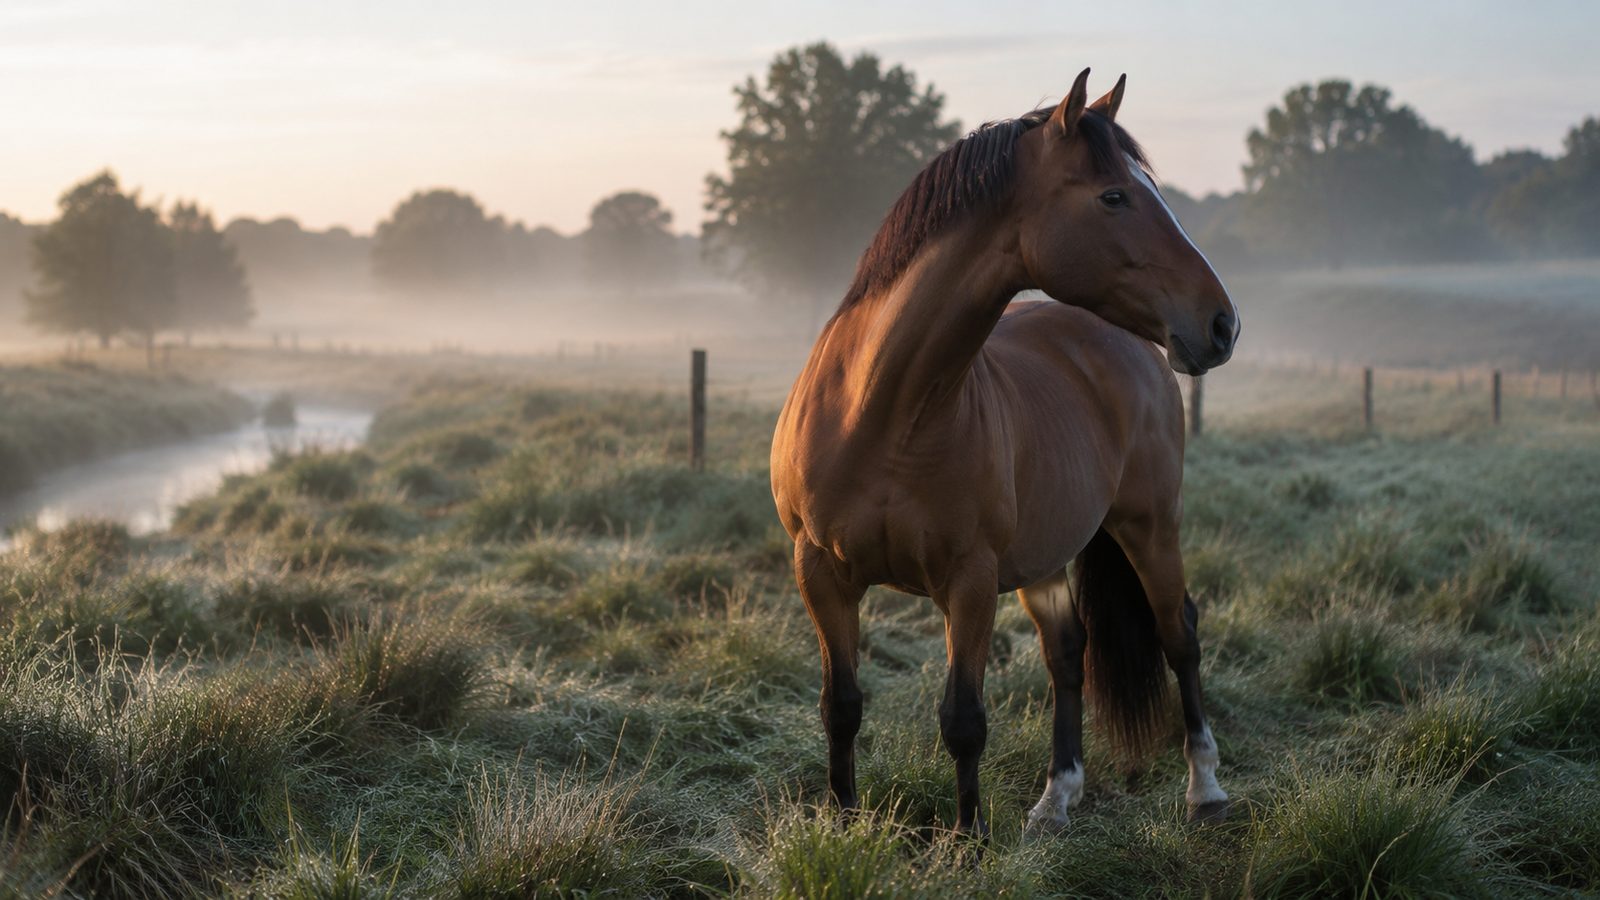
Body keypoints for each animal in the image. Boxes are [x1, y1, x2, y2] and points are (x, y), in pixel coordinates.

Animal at [770, 69, 1240, 839]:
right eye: (1115, 196)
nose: (1222, 323)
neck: (883, 412)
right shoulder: (821, 572)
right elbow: (840, 707)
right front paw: (842, 826)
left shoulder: (969, 581)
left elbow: (963, 719)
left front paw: (967, 840)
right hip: (1045, 557)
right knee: (1068, 653)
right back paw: (1057, 799)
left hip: (1150, 526)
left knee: (1181, 636)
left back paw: (1205, 787)